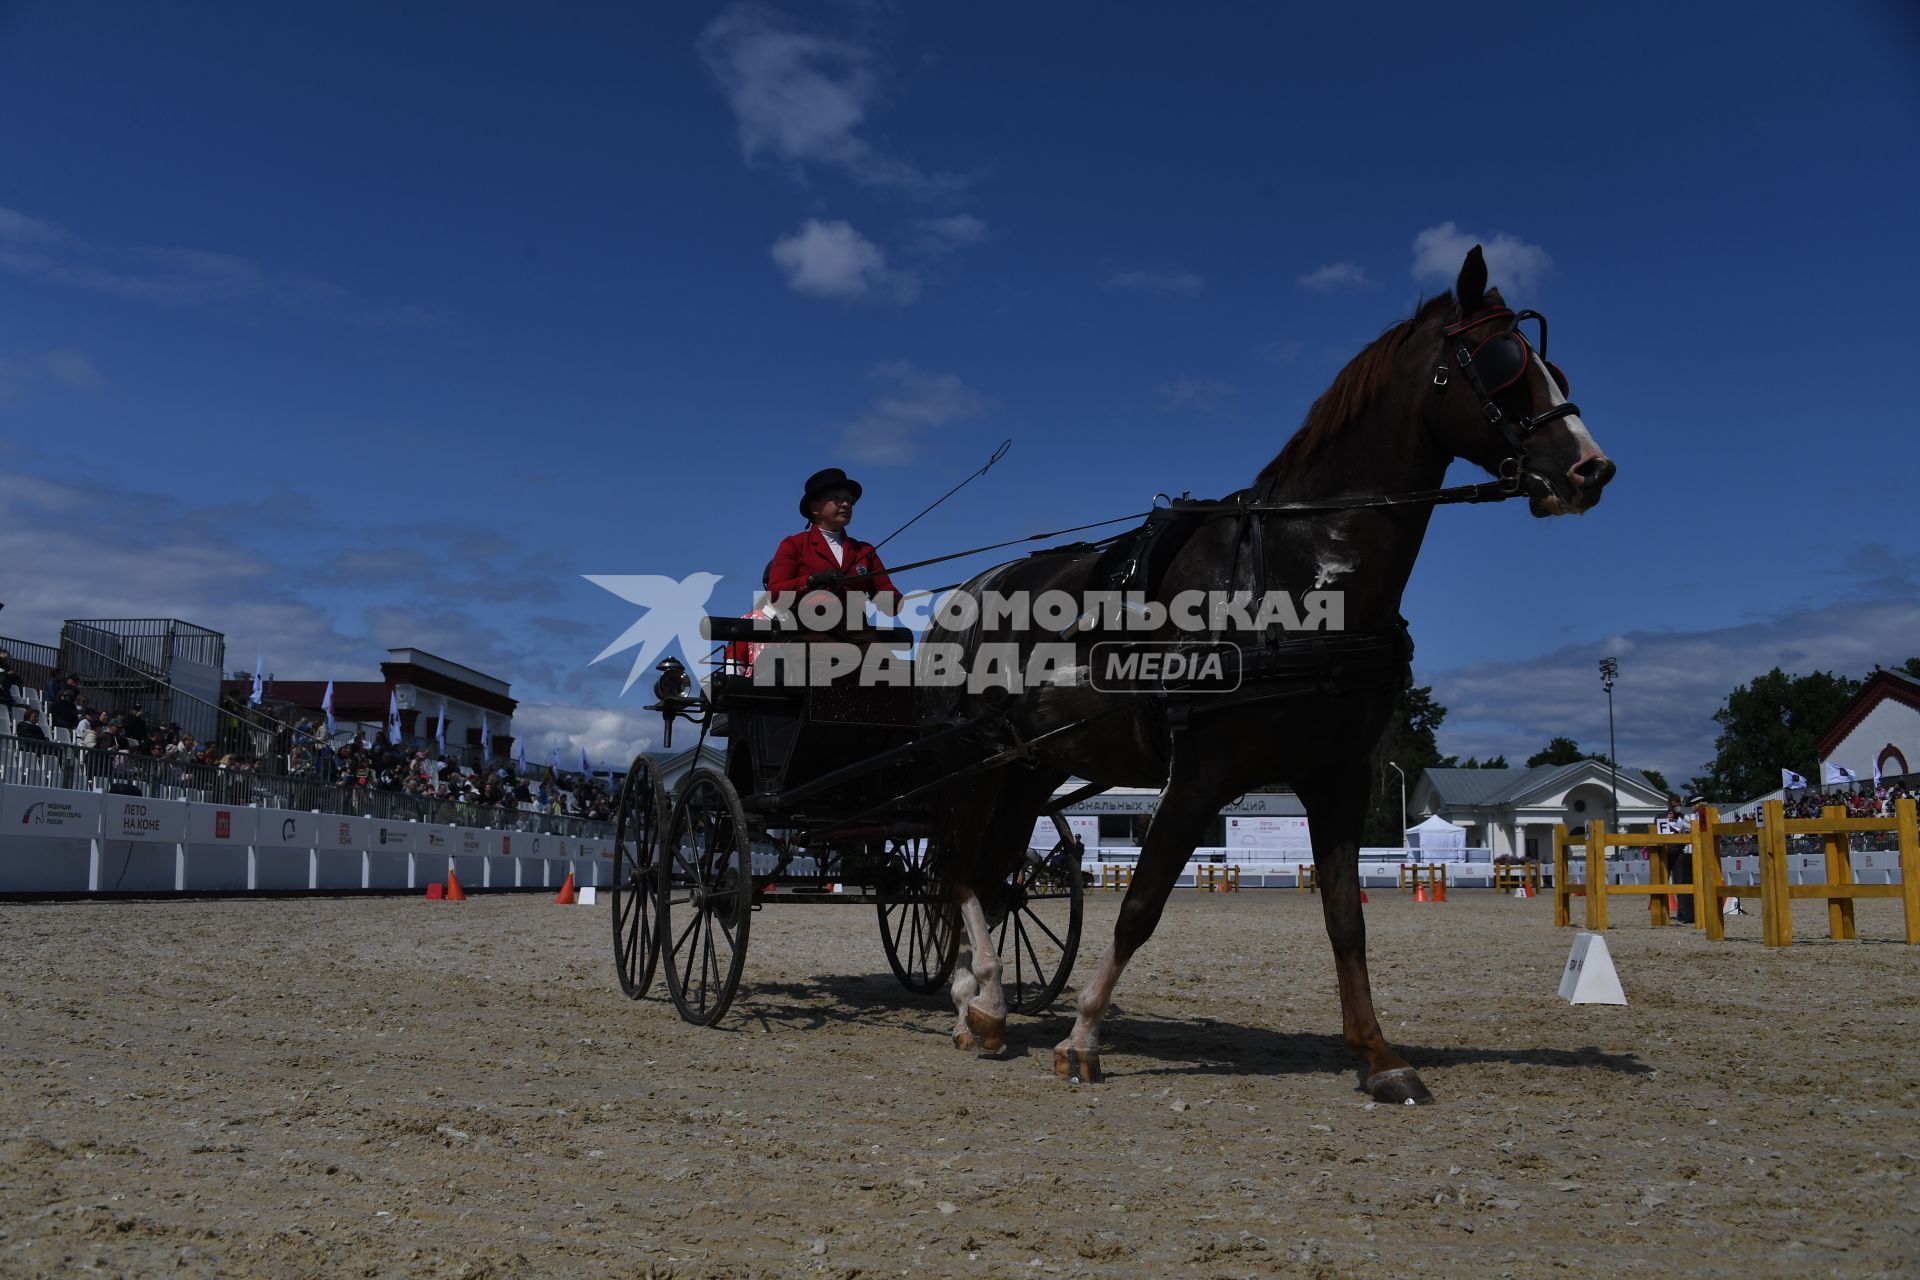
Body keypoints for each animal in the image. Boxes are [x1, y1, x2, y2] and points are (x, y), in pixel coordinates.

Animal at [921, 247, 1612, 1105]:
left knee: (992, 876)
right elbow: (1141, 905)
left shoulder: (1339, 777)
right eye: (1503, 362)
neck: (1304, 571)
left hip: (1028, 768)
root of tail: (972, 588)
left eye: (1550, 365)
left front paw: (1379, 1055)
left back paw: (979, 1005)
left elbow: (1347, 919)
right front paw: (1081, 1039)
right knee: (958, 870)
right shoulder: (1199, 776)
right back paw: (980, 998)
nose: (1590, 469)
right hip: (976, 763)